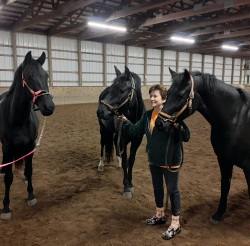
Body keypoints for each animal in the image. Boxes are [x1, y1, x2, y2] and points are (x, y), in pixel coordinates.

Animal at [0, 50, 54, 219]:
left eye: (46, 76)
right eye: (29, 77)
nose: (49, 106)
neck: (17, 118)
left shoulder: (31, 146)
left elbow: (29, 171)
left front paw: (31, 195)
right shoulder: (7, 148)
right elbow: (9, 178)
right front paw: (6, 207)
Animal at [96, 66, 146, 198]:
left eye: (122, 89)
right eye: (112, 88)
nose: (100, 111)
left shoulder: (137, 140)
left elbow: (131, 161)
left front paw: (131, 183)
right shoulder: (123, 139)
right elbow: (125, 162)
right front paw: (126, 187)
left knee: (114, 142)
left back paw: (117, 163)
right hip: (103, 130)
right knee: (102, 144)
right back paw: (101, 165)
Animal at [156, 68, 250, 224]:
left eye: (180, 95)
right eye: (167, 93)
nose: (160, 124)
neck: (237, 120)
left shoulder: (247, 165)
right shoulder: (224, 160)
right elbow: (225, 186)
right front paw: (218, 215)